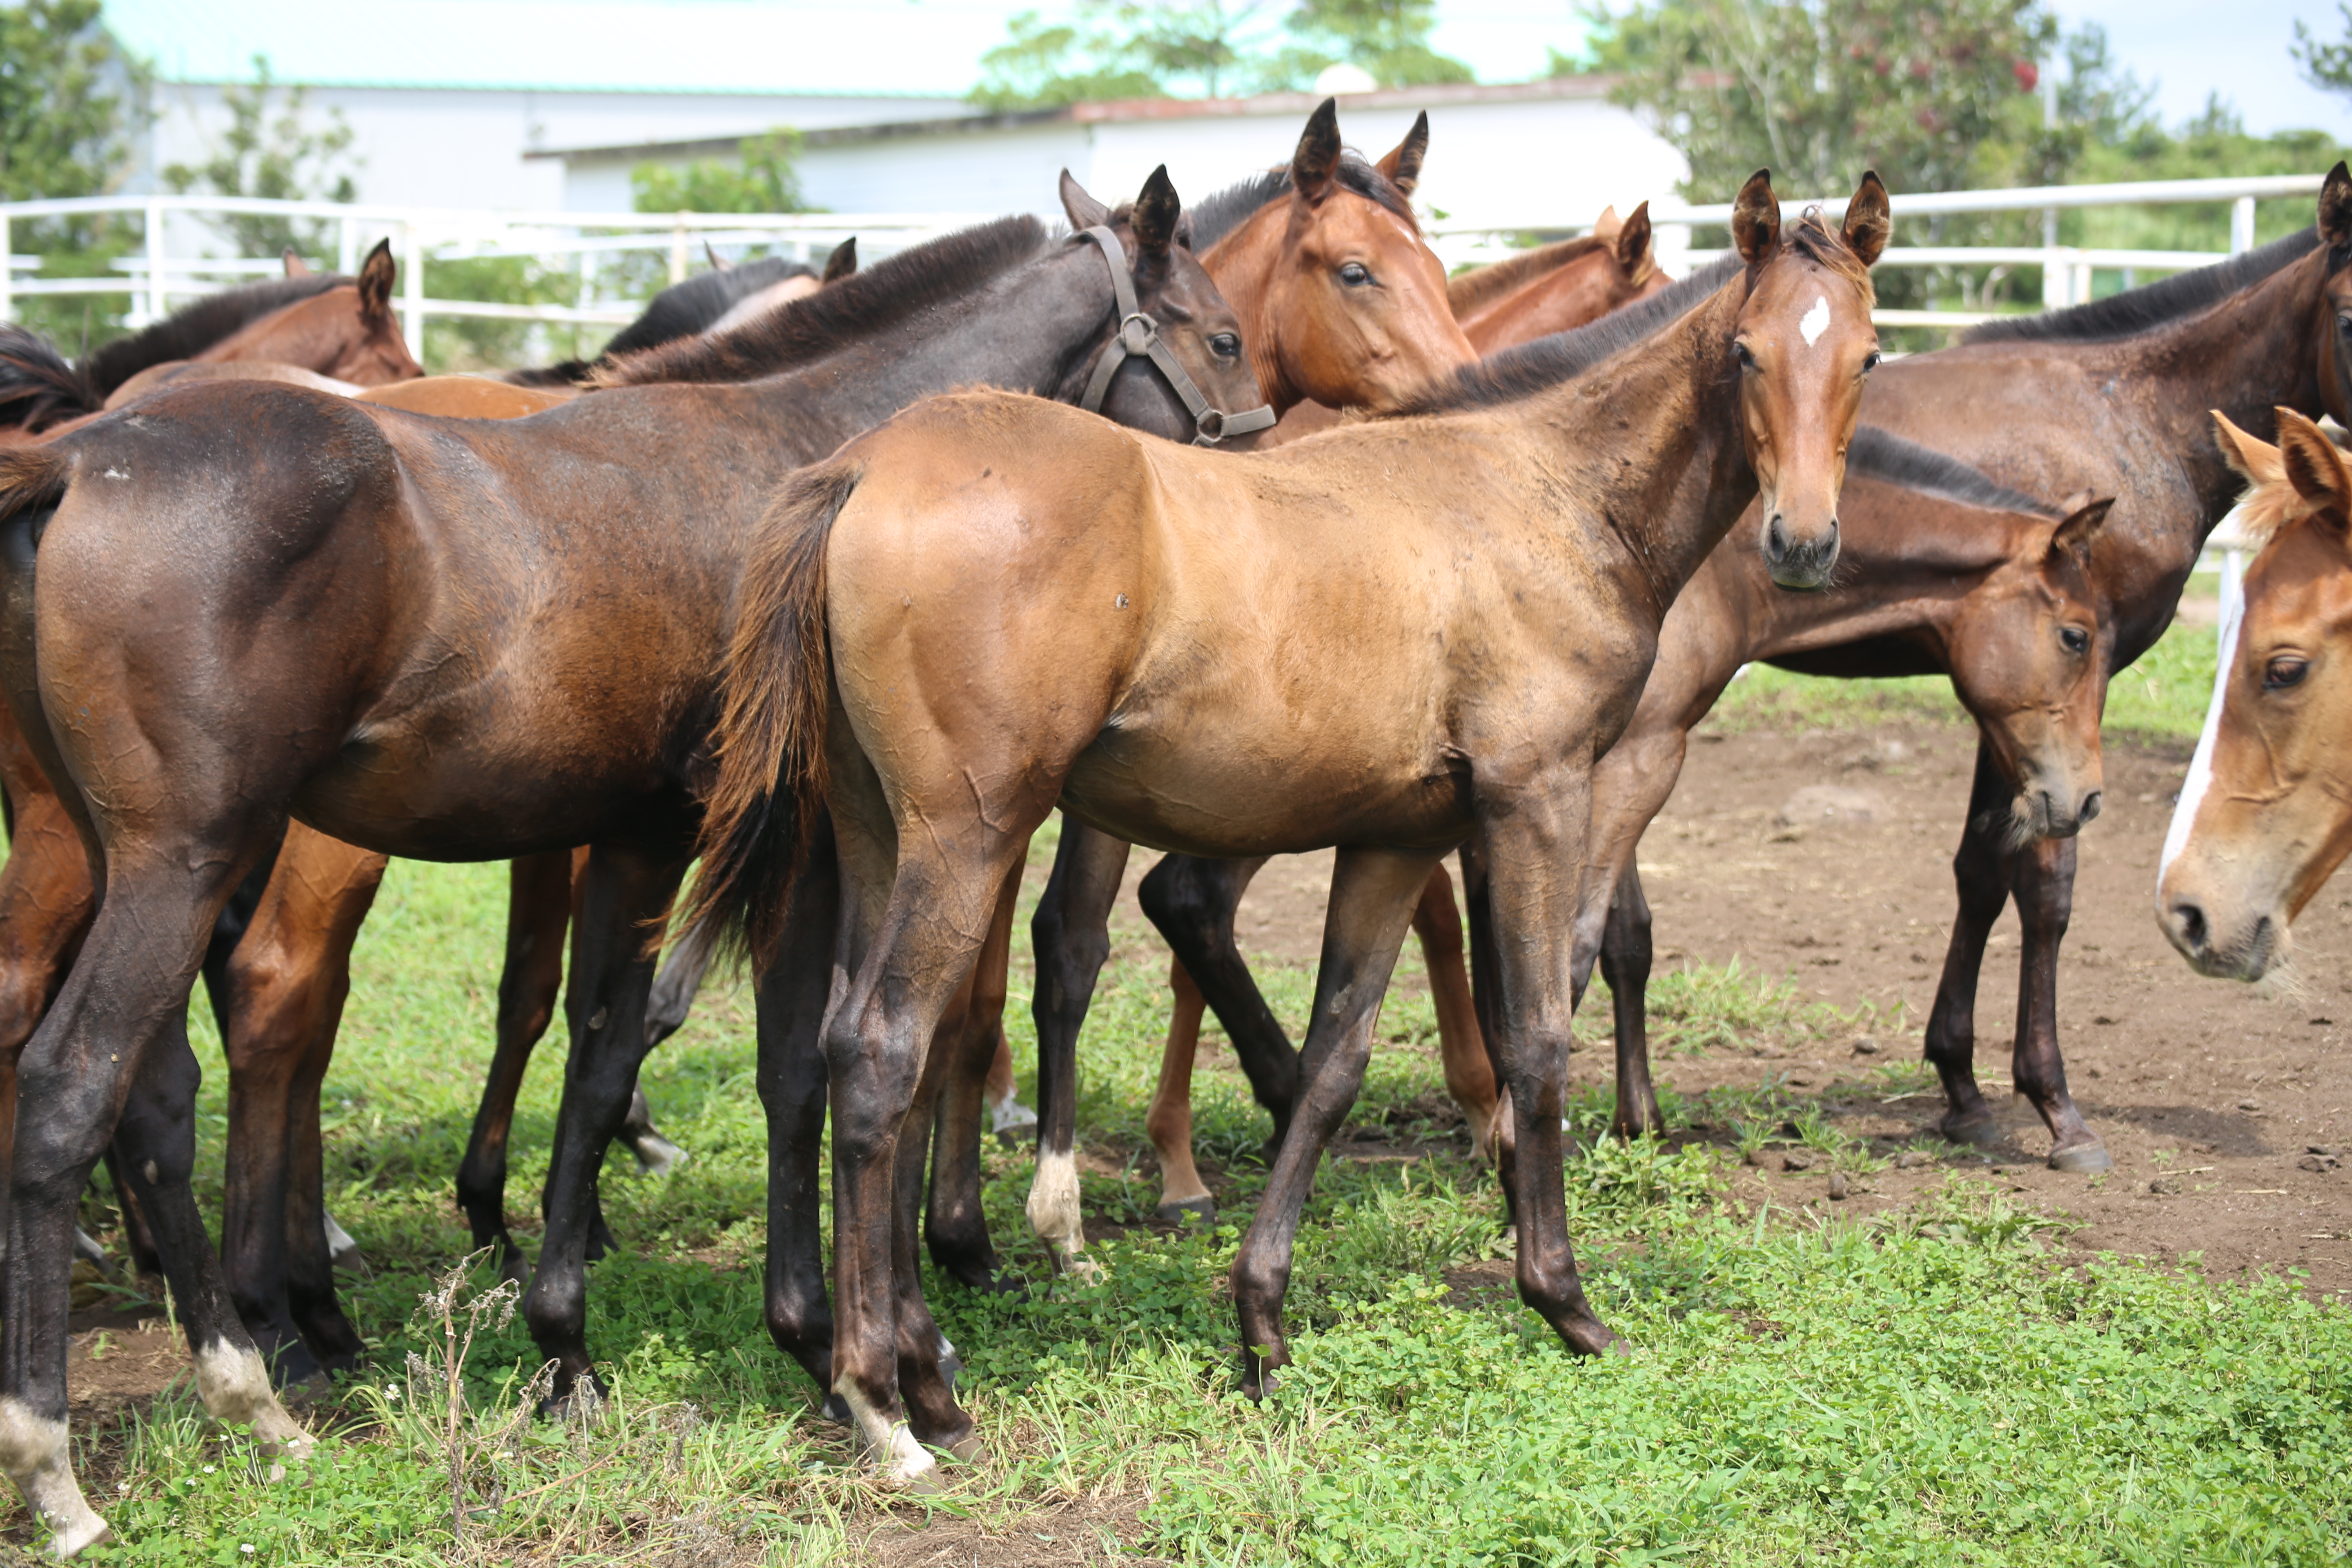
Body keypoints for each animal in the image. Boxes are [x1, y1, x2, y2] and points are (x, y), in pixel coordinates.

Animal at [0, 175, 1270, 1561]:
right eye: (1222, 334)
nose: (1252, 501)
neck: (813, 459)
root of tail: (75, 460)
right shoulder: (784, 841)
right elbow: (792, 1065)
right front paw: (839, 1348)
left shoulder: (638, 832)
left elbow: (602, 1057)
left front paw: (568, 1348)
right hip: (181, 860)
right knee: (72, 1088)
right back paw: (98, 1452)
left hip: (118, 859)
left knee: (152, 1098)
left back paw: (242, 1374)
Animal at [686, 172, 1891, 1486]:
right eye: (1745, 351)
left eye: (1868, 356)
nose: (1802, 543)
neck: (1544, 493)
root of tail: (861, 467)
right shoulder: (1537, 796)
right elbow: (1534, 1037)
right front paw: (1565, 1302)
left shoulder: (1399, 836)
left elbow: (1330, 1064)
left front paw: (1260, 1327)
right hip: (967, 833)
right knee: (882, 1053)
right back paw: (885, 1407)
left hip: (877, 834)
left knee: (849, 1046)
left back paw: (924, 1378)